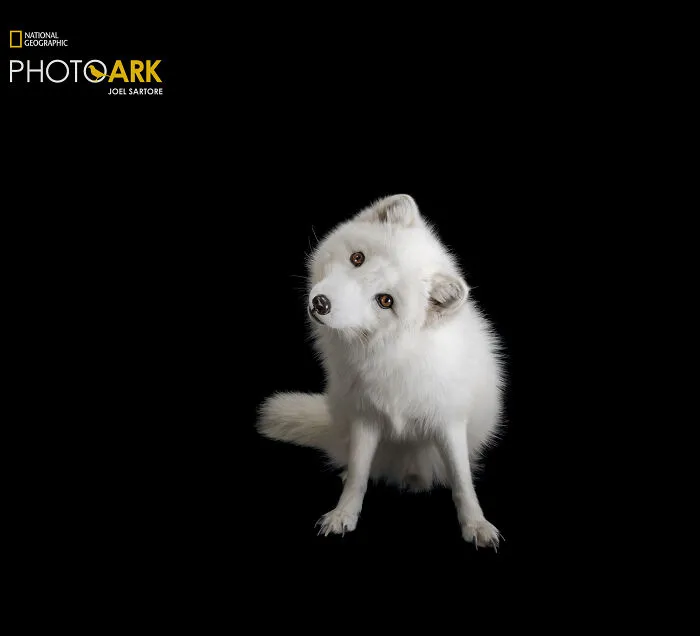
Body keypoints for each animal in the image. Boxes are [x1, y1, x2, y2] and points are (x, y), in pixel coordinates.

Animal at [257, 194, 505, 548]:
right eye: (357, 258)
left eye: (385, 301)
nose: (320, 303)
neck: (395, 357)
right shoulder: (366, 418)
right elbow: (359, 475)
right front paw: (343, 514)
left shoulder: (449, 422)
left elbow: (462, 481)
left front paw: (476, 524)